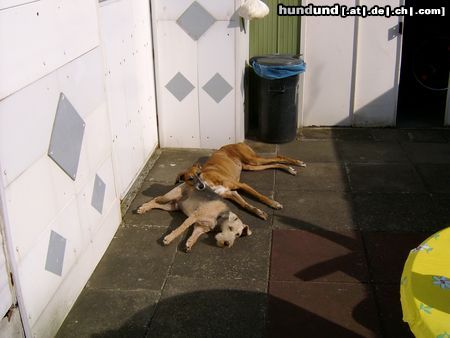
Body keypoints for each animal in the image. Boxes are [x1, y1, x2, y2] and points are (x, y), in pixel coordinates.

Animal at [176, 142, 306, 219]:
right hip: (251, 166)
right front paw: (258, 212)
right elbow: (245, 205)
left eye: (199, 174)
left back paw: (297, 163)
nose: (201, 186)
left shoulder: (242, 185)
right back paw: (289, 168)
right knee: (275, 164)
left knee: (278, 157)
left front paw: (273, 203)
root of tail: (238, 142)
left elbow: (260, 196)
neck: (209, 183)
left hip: (253, 159)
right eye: (190, 179)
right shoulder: (231, 193)